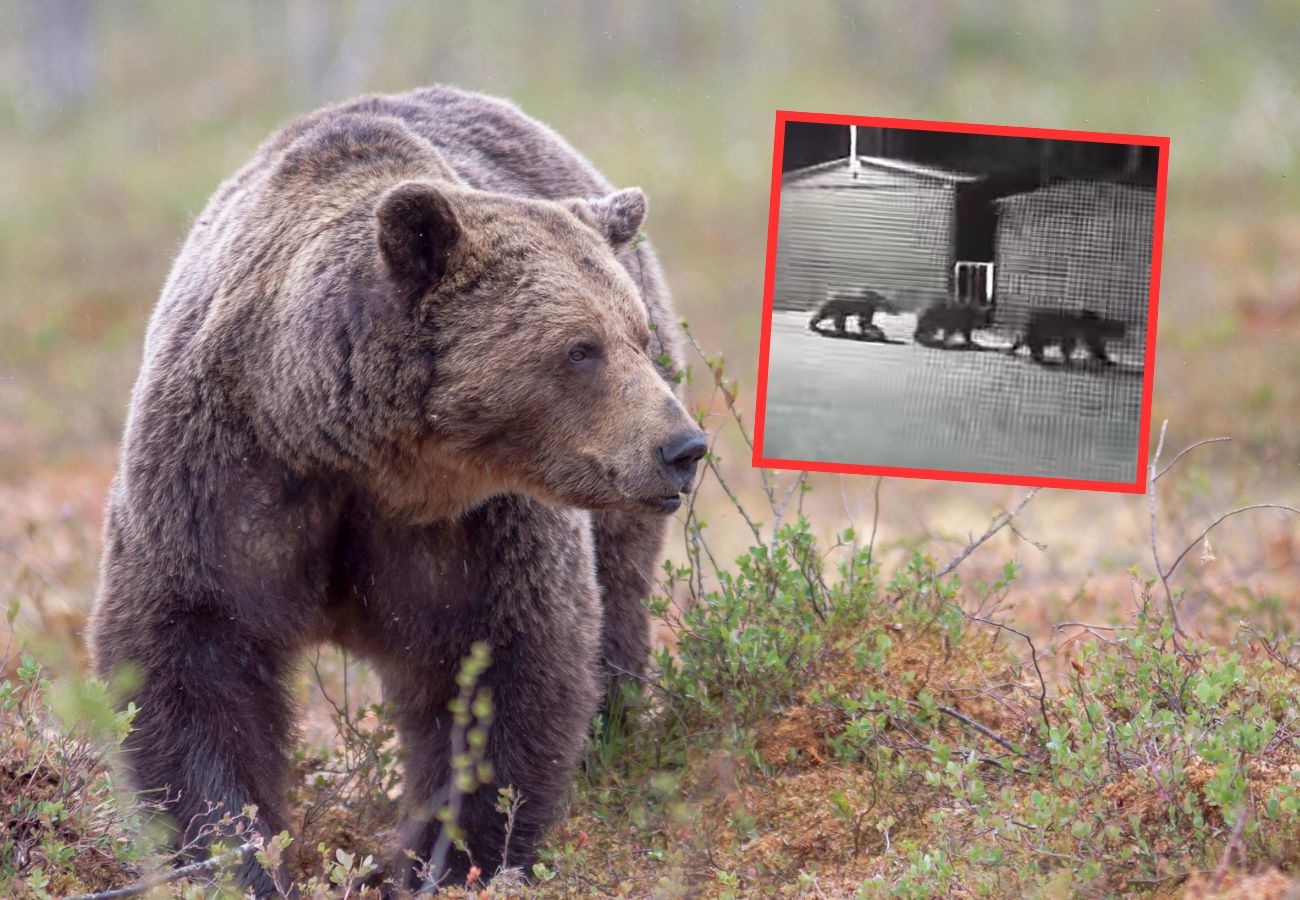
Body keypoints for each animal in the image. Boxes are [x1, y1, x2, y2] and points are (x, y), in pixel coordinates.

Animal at [90, 82, 707, 894]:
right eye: (582, 348)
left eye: (633, 337)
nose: (683, 447)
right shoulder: (220, 478)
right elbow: (190, 654)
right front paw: (235, 852)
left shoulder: (476, 525)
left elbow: (502, 667)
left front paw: (443, 857)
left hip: (615, 524)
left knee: (620, 602)